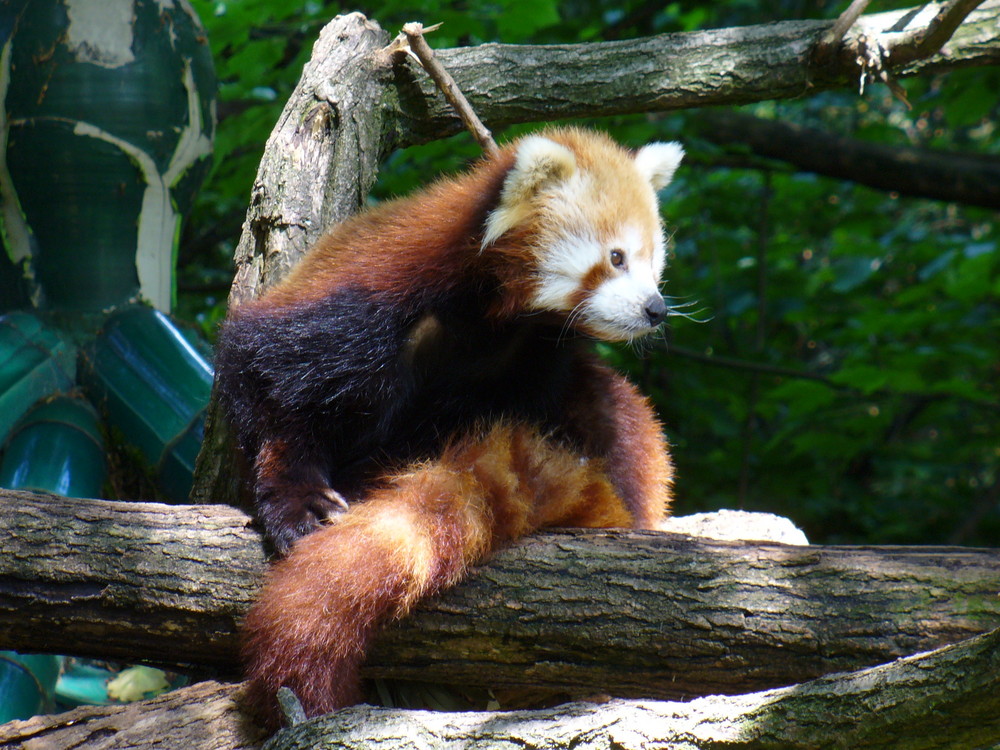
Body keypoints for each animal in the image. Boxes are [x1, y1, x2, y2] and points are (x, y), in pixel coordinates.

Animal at [214, 128, 684, 728]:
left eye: (654, 264)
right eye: (616, 258)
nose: (656, 309)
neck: (486, 316)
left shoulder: (526, 366)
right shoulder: (358, 306)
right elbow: (269, 384)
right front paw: (302, 498)